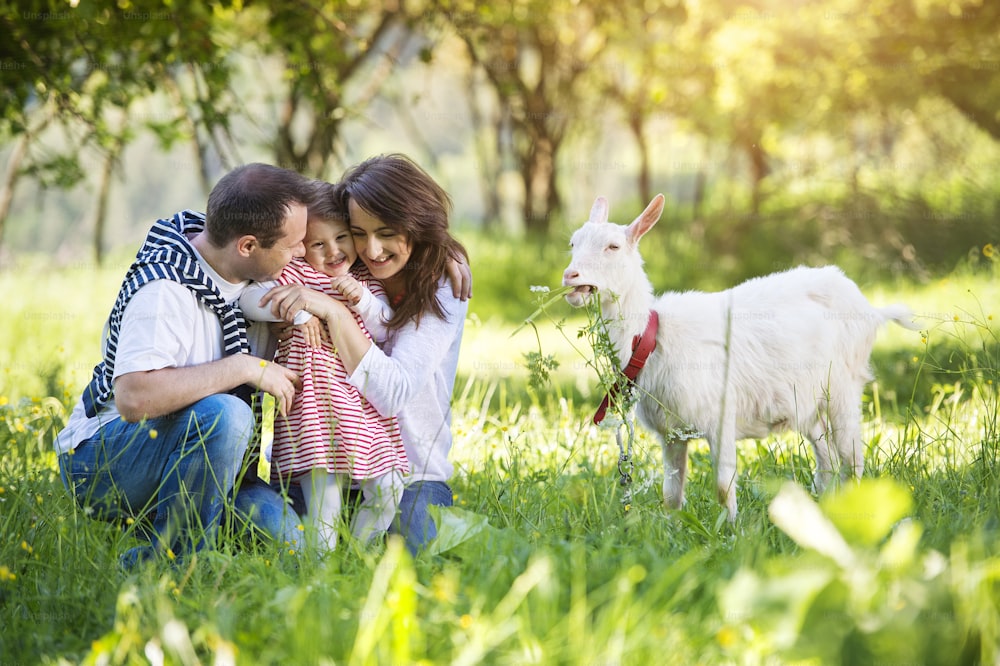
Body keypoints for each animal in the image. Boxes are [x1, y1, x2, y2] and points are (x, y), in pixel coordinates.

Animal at [560, 195, 916, 516]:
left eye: (613, 247)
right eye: (573, 243)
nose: (570, 276)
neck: (652, 339)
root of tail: (870, 308)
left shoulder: (720, 415)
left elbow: (722, 485)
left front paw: (731, 532)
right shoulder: (671, 433)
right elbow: (671, 494)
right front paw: (673, 531)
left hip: (844, 385)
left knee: (851, 456)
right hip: (805, 399)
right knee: (826, 453)